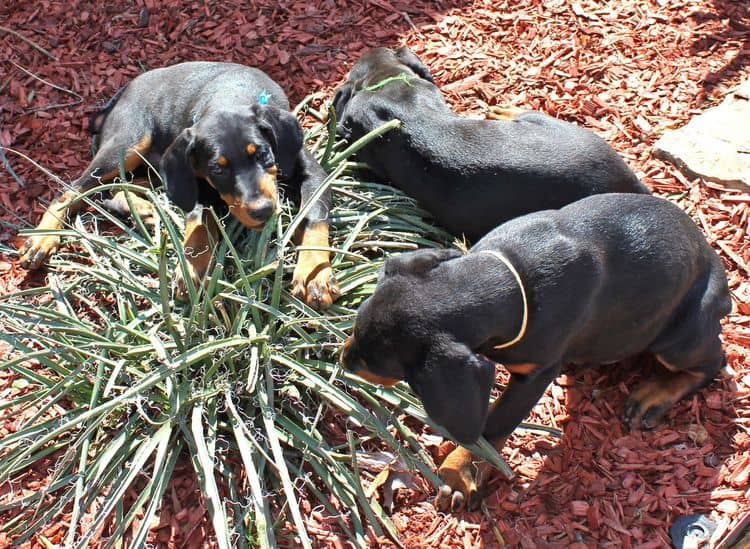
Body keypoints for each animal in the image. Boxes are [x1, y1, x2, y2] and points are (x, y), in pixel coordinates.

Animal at [18, 61, 340, 308]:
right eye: (217, 169)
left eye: (262, 153)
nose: (261, 211)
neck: (230, 96)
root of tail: (117, 99)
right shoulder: (193, 182)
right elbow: (199, 226)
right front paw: (191, 268)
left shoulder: (314, 174)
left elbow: (313, 217)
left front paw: (314, 273)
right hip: (129, 142)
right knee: (74, 188)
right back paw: (42, 239)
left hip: (153, 166)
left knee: (113, 188)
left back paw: (144, 210)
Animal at [342, 193, 736, 510]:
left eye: (376, 360)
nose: (344, 359)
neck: (507, 277)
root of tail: (718, 270)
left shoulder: (536, 374)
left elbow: (494, 425)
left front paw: (460, 473)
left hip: (679, 335)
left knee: (712, 361)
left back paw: (653, 395)